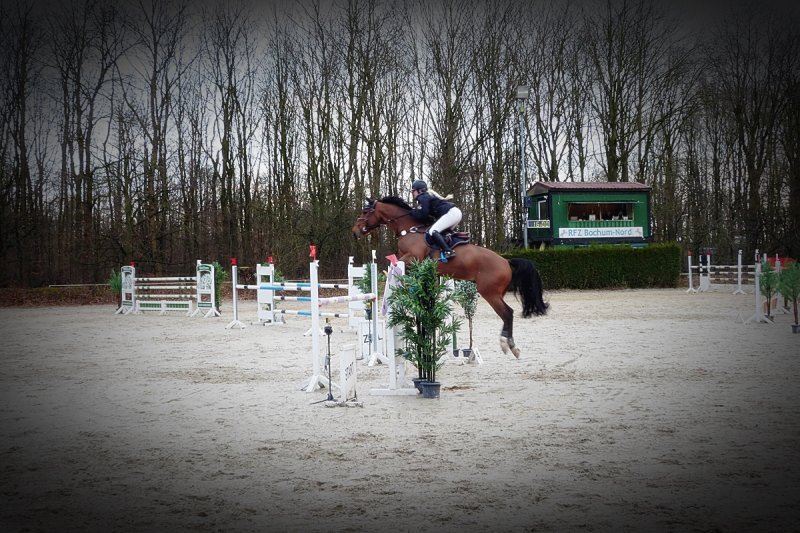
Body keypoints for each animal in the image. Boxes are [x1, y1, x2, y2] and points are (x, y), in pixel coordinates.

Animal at [352, 196, 547, 358]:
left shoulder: (412, 258)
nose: (355, 232)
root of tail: (506, 261)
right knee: (508, 314)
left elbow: (395, 265)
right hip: (496, 292)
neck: (409, 229)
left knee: (508, 313)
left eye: (365, 212)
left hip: (489, 293)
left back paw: (508, 345)